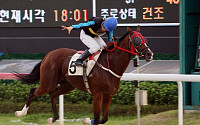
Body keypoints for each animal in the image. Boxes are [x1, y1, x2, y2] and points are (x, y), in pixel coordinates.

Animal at [14, 26, 153, 124]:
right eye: (136, 40)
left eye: (145, 39)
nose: (149, 54)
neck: (110, 65)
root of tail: (48, 55)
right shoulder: (98, 94)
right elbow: (97, 118)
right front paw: (87, 120)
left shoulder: (108, 96)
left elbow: (104, 119)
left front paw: (86, 120)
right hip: (48, 82)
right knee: (33, 91)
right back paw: (21, 113)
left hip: (67, 85)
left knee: (52, 94)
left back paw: (53, 118)